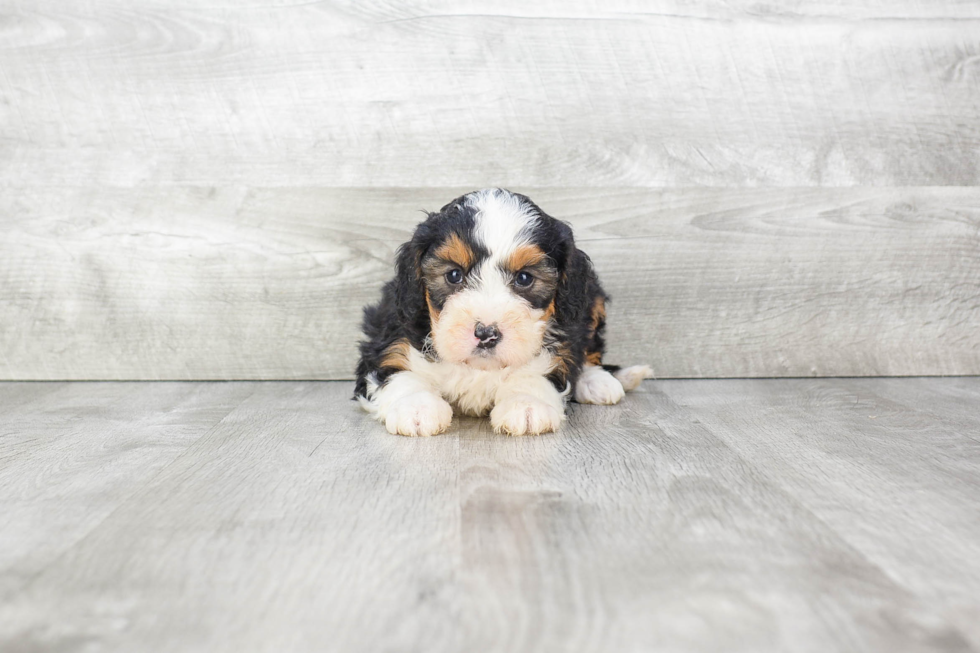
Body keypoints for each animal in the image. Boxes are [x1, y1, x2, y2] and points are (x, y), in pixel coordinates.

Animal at [352, 186, 652, 436]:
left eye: (524, 278)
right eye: (453, 275)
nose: (486, 333)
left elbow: (544, 367)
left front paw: (527, 404)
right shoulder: (392, 333)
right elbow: (397, 369)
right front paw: (416, 407)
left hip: (592, 300)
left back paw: (597, 381)